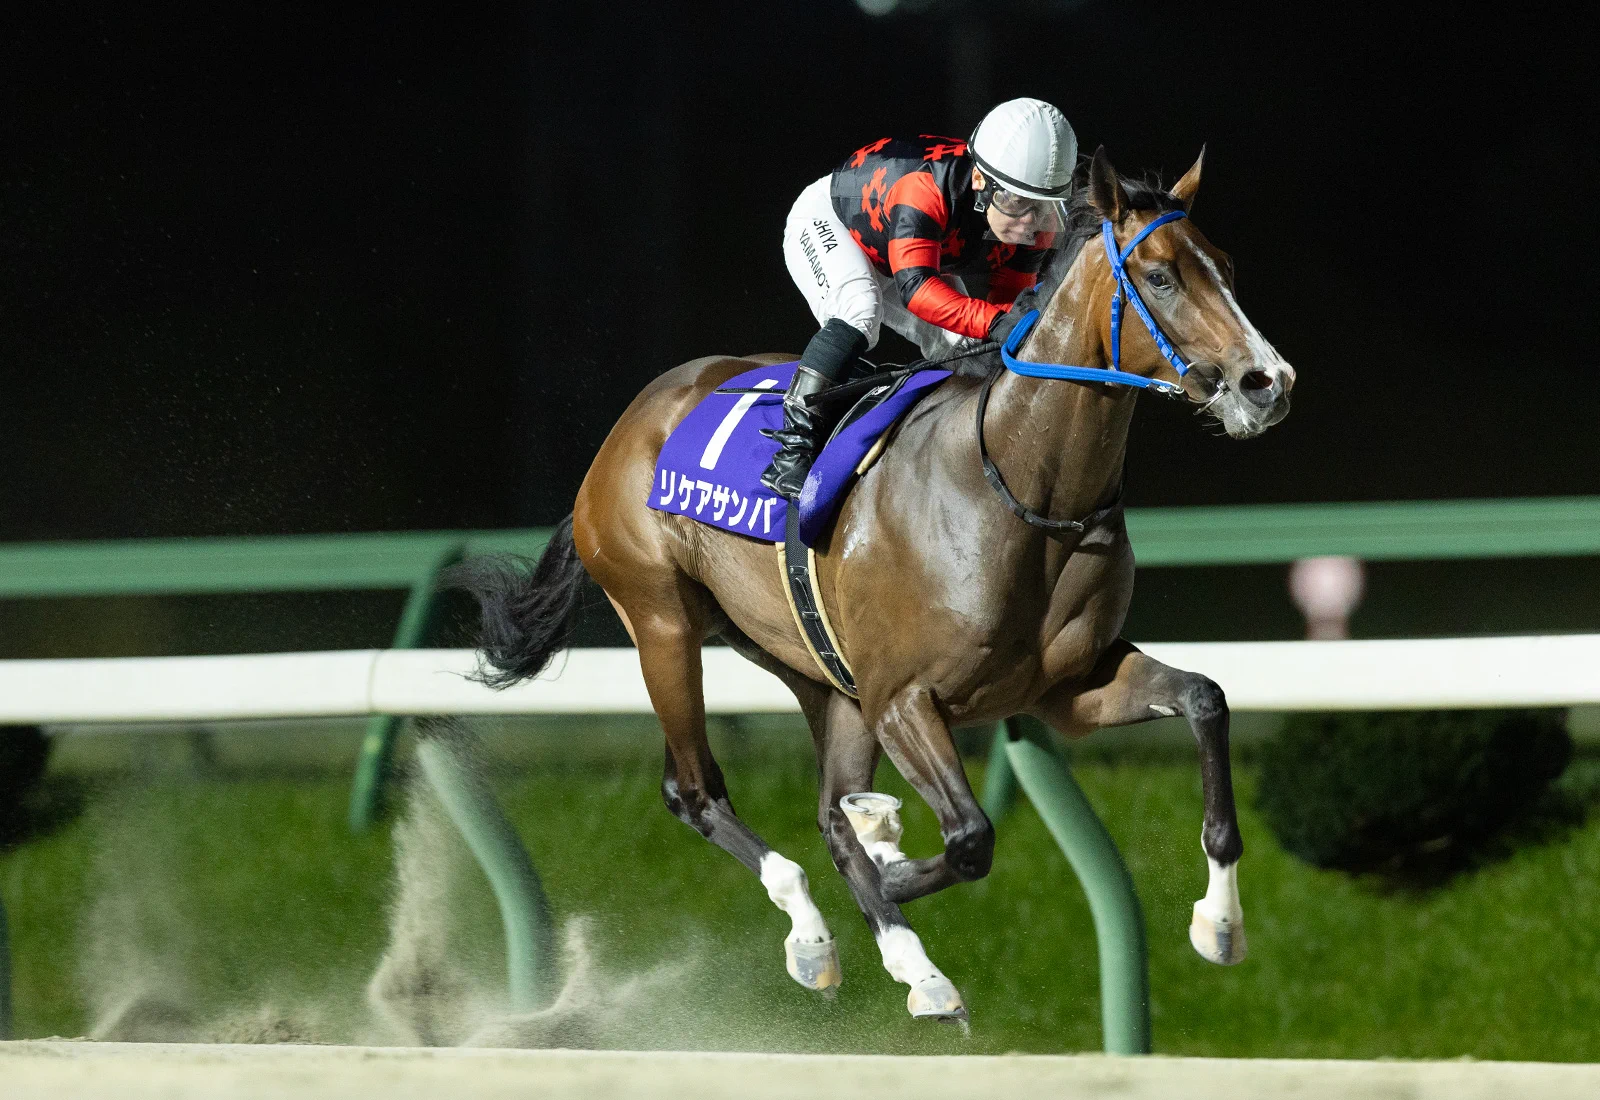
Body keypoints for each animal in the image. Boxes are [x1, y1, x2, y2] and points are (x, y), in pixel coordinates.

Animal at [450, 147, 1296, 1024]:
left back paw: (911, 959)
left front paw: (1219, 923)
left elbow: (1205, 699)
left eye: (1226, 266)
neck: (1017, 487)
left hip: (818, 671)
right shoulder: (904, 698)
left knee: (827, 813)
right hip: (663, 623)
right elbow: (969, 839)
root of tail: (630, 425)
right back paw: (815, 935)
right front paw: (889, 860)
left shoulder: (1067, 687)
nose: (1268, 381)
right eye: (1160, 275)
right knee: (695, 791)